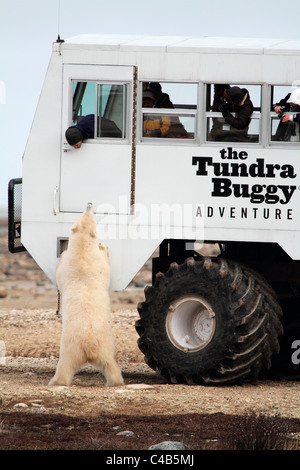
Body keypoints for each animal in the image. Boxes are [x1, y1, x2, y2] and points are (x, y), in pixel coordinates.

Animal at [48, 204, 123, 388]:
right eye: (87, 213)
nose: (89, 204)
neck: (82, 251)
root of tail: (88, 345)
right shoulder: (95, 264)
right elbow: (106, 265)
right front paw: (103, 246)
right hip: (96, 346)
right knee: (109, 364)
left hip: (77, 348)